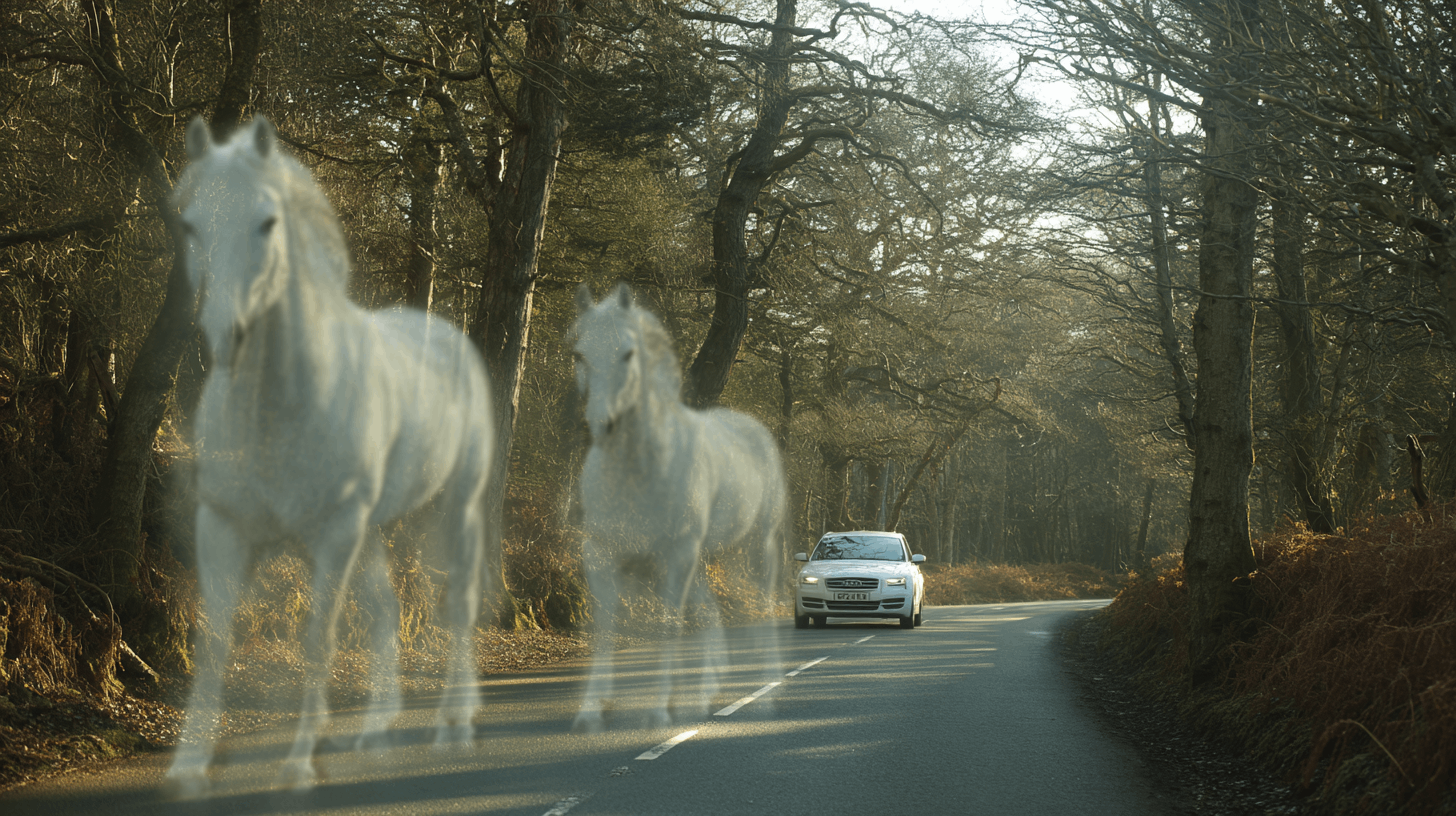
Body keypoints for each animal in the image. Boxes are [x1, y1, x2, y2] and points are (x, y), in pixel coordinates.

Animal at [164, 117, 494, 797]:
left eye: (269, 222)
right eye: (191, 224)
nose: (226, 336)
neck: (281, 408)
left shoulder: (333, 535)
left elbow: (319, 641)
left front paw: (297, 764)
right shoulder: (223, 527)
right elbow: (212, 643)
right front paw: (187, 768)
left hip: (454, 509)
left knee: (459, 602)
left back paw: (455, 718)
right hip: (371, 531)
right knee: (387, 611)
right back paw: (375, 730)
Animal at [569, 283, 785, 732]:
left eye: (628, 353)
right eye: (579, 354)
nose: (602, 424)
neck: (638, 471)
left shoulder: (674, 555)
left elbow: (668, 627)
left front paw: (657, 709)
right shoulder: (599, 552)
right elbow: (603, 630)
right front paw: (590, 710)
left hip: (756, 548)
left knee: (762, 606)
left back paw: (766, 693)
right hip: (702, 558)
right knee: (710, 614)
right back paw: (704, 694)